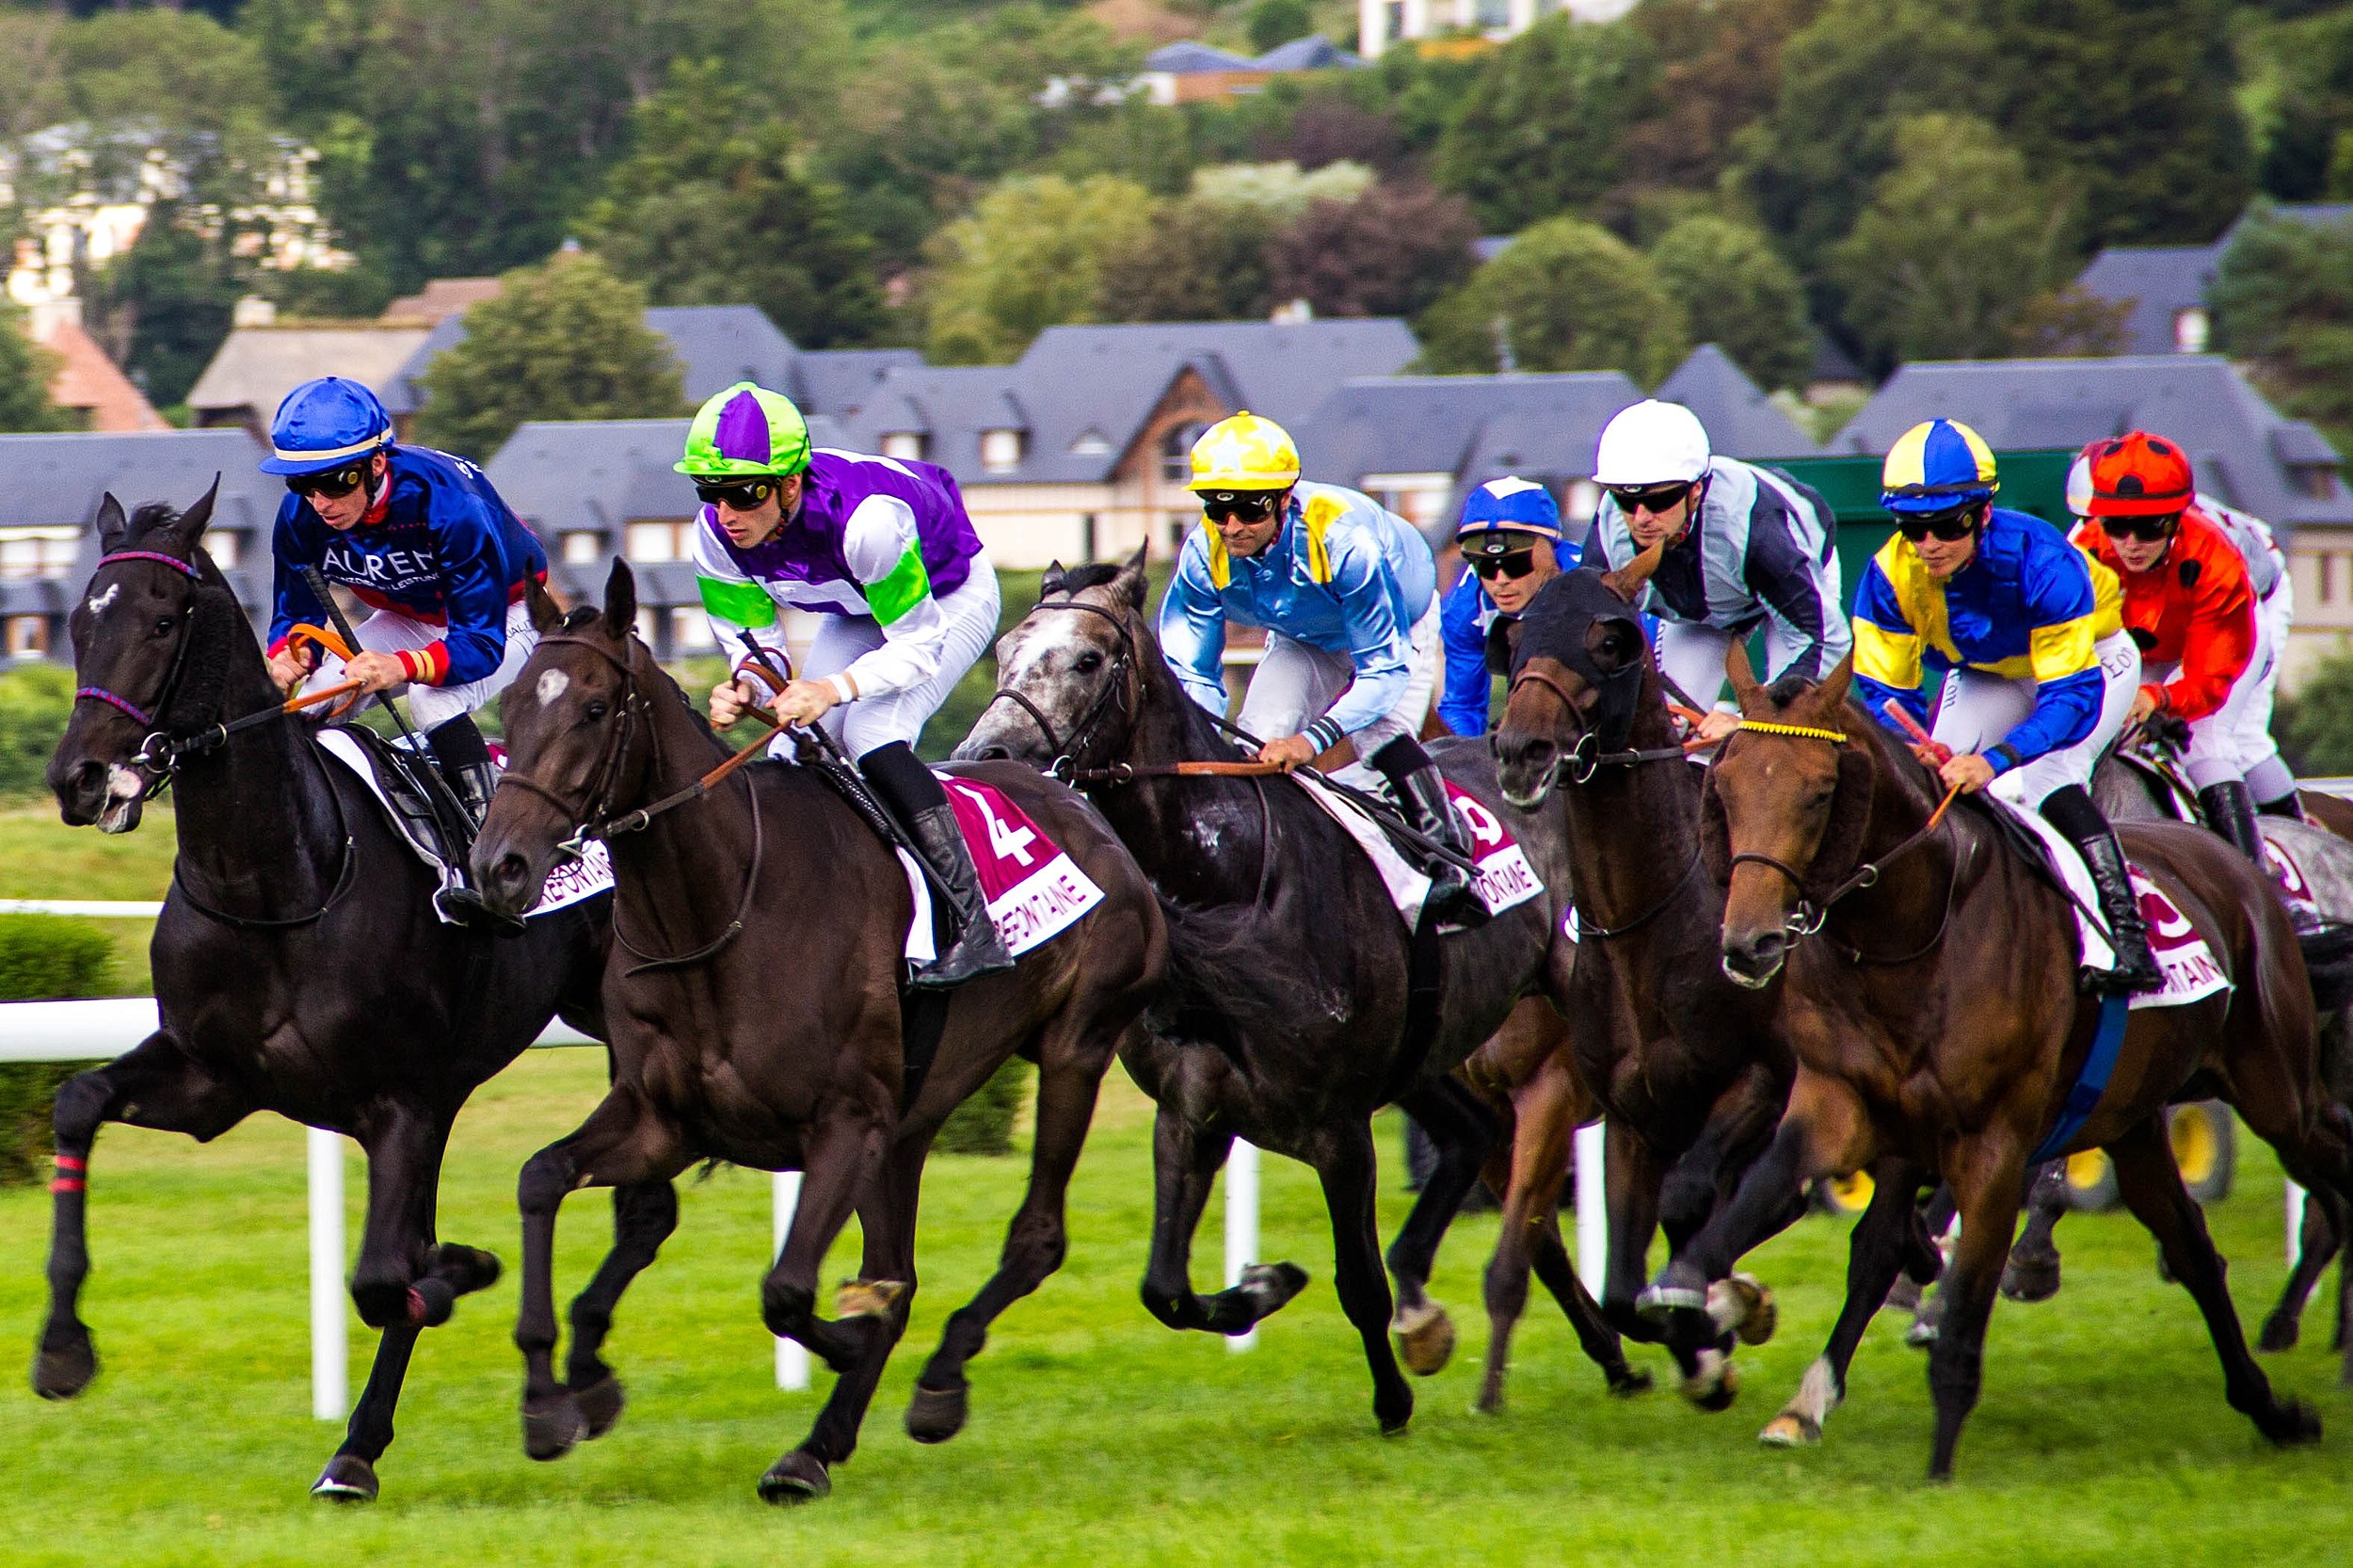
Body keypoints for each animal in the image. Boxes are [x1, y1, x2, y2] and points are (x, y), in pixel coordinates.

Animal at [41, 489, 612, 1506]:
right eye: (76, 622)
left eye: (160, 620)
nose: (80, 779)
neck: (277, 880)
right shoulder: (215, 1078)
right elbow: (76, 1101)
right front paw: (63, 1346)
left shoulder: (405, 1104)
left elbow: (391, 1276)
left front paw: (463, 1267)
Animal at [472, 562, 1172, 1506]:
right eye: (512, 704)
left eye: (590, 707)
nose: (498, 867)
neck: (722, 907)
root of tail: (1081, 801)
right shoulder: (667, 1119)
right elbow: (541, 1179)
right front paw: (554, 1399)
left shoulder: (845, 1121)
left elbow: (792, 1292)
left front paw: (847, 1340)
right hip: (910, 1121)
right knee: (902, 1265)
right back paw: (818, 1445)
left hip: (1074, 1047)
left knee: (1034, 1238)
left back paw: (928, 1387)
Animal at [946, 548, 1647, 1431]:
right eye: (1005, 651)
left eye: (1088, 660)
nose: (987, 755)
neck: (1225, 891)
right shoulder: (1191, 1114)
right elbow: (1164, 1290)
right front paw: (1262, 1287)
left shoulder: (1337, 1124)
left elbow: (1358, 1284)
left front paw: (1391, 1400)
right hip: (1432, 1053)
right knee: (1480, 1141)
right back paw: (1602, 1355)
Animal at [1666, 649, 2353, 1478]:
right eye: (1726, 784)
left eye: (1820, 791)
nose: (1750, 944)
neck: (1916, 932)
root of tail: (2245, 871)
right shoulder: (1844, 1104)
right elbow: (1763, 1208)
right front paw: (1706, 1314)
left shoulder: (1994, 1141)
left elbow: (1965, 1297)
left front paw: (1937, 1464)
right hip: (2134, 1121)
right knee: (2192, 1245)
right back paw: (2272, 1407)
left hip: (2278, 1088)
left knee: (2331, 1161)